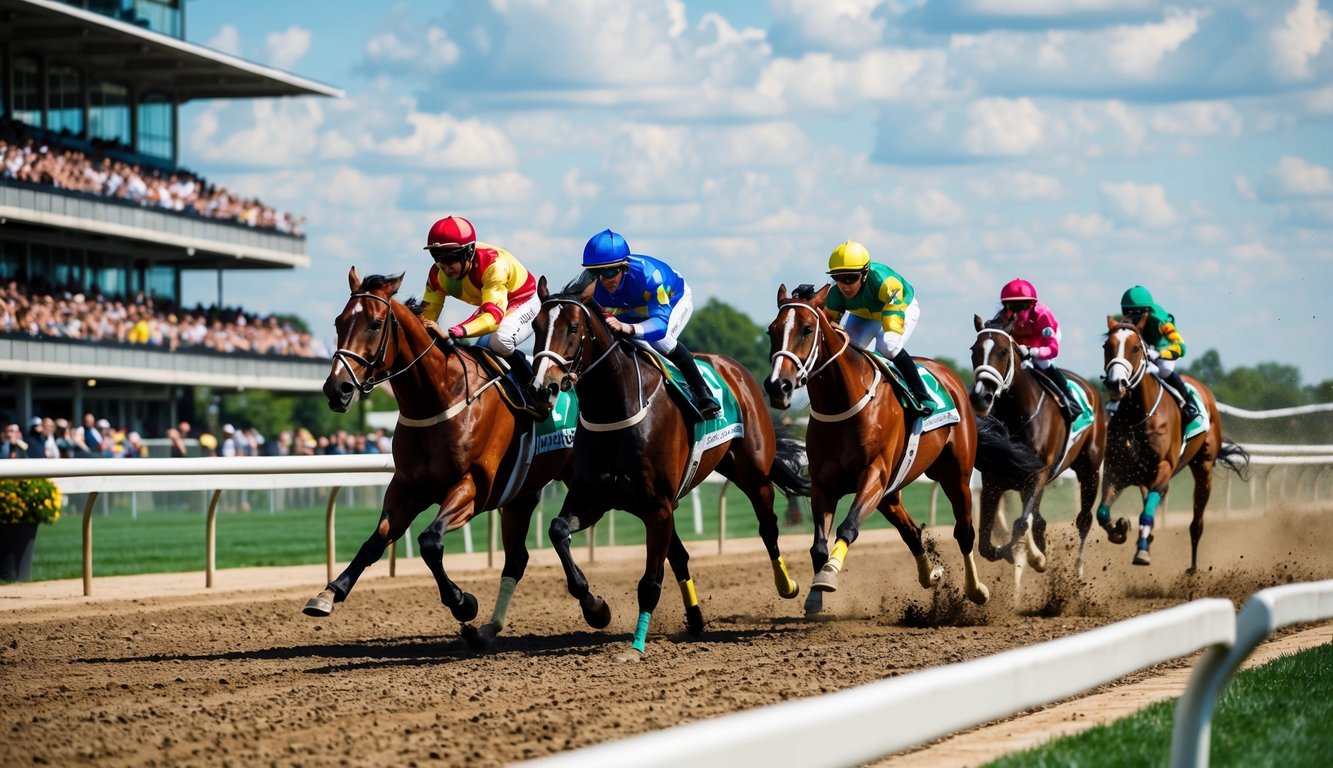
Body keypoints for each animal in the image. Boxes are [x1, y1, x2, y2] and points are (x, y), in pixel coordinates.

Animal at [311, 266, 573, 645]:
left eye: (375, 324)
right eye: (338, 322)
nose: (337, 389)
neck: (438, 396)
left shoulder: (473, 487)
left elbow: (430, 542)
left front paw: (463, 602)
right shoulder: (407, 487)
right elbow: (375, 542)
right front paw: (330, 592)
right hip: (522, 495)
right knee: (518, 557)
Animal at [527, 276, 799, 653]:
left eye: (573, 328)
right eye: (536, 327)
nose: (542, 388)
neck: (616, 409)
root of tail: (734, 368)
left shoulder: (657, 507)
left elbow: (650, 582)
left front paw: (636, 647)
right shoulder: (595, 498)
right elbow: (557, 531)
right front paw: (597, 609)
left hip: (752, 473)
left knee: (768, 529)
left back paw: (787, 585)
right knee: (680, 555)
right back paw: (695, 619)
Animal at [767, 285, 1034, 616]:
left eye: (806, 329)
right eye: (772, 330)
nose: (778, 386)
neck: (843, 403)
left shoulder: (874, 475)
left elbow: (848, 526)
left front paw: (828, 576)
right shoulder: (824, 486)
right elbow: (818, 545)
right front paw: (814, 595)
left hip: (955, 475)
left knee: (964, 532)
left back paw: (976, 590)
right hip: (890, 494)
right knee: (911, 531)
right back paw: (930, 575)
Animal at [965, 314, 1109, 597]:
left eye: (1002, 351)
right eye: (974, 350)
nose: (980, 397)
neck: (1017, 415)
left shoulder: (1038, 474)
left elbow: (1021, 524)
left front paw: (1035, 557)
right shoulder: (993, 481)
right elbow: (987, 542)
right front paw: (1023, 554)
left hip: (1089, 470)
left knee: (1084, 520)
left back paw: (1077, 572)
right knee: (1039, 520)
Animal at [1093, 316, 1247, 570]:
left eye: (1136, 348)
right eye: (1107, 346)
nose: (1116, 384)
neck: (1137, 416)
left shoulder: (1164, 467)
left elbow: (1146, 514)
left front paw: (1142, 550)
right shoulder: (1118, 468)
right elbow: (1103, 512)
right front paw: (1120, 529)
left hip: (1203, 467)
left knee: (1196, 522)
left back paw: (1192, 567)